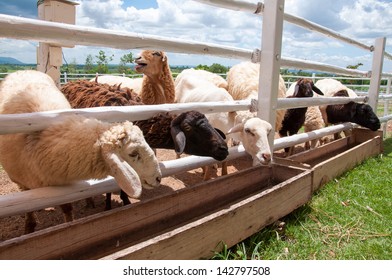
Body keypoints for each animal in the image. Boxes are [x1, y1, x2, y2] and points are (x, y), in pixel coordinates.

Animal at [0, 70, 162, 234]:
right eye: (133, 153)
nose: (158, 178)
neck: (39, 142)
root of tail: (24, 71)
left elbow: (67, 208)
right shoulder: (21, 182)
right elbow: (29, 208)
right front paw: (29, 228)